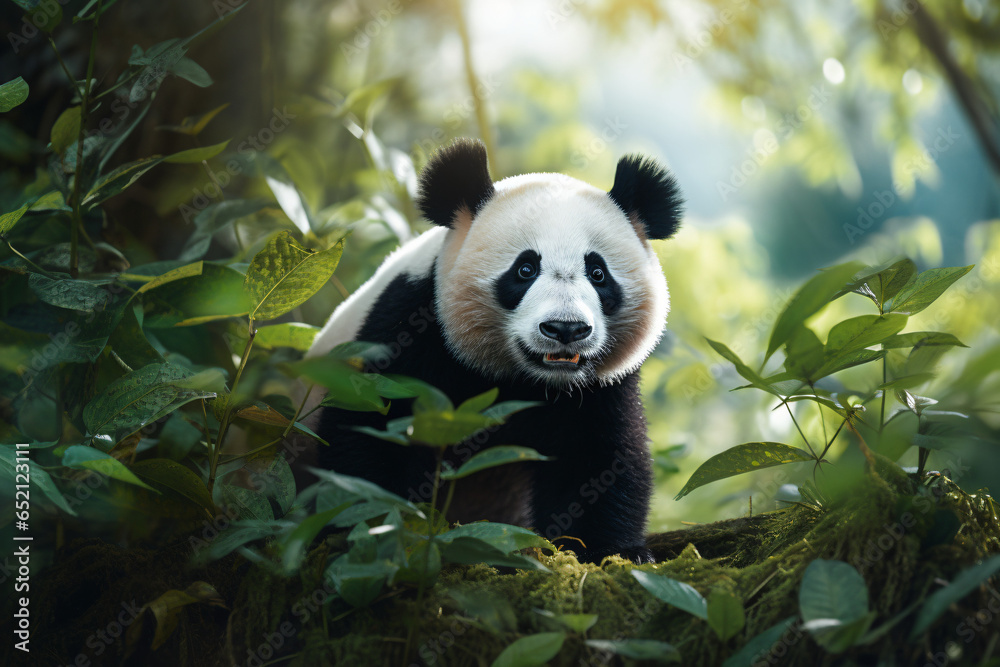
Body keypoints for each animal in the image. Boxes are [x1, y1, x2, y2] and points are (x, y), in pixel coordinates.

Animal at [306, 138, 682, 563]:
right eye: (525, 269)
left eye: (598, 274)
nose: (565, 329)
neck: (529, 380)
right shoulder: (410, 327)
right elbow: (372, 425)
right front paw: (376, 528)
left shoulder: (600, 387)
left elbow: (596, 461)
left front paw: (614, 551)